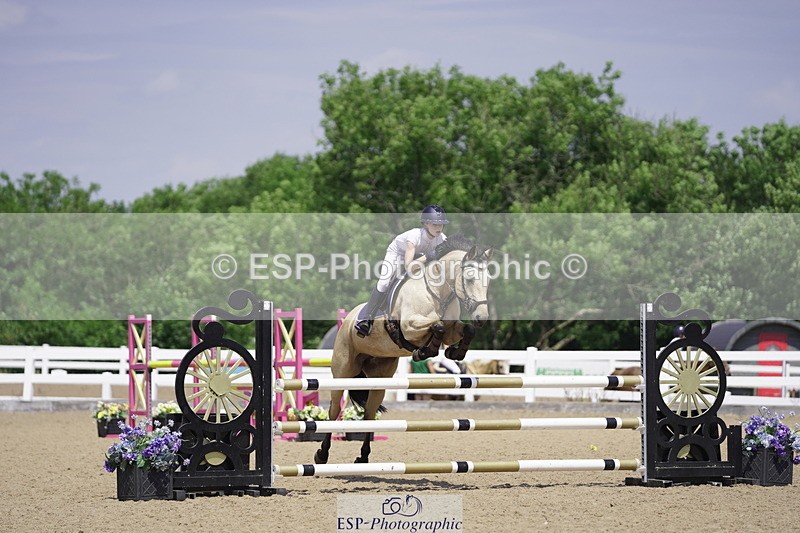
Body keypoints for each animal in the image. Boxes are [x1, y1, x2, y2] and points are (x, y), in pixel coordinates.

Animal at [314, 235, 493, 465]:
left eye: (488, 281)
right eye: (469, 279)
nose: (481, 318)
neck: (438, 292)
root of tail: (347, 320)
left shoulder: (452, 328)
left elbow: (462, 329)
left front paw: (455, 353)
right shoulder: (409, 327)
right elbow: (437, 326)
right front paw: (424, 351)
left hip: (379, 380)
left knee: (369, 414)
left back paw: (363, 457)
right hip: (343, 372)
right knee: (334, 410)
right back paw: (322, 454)